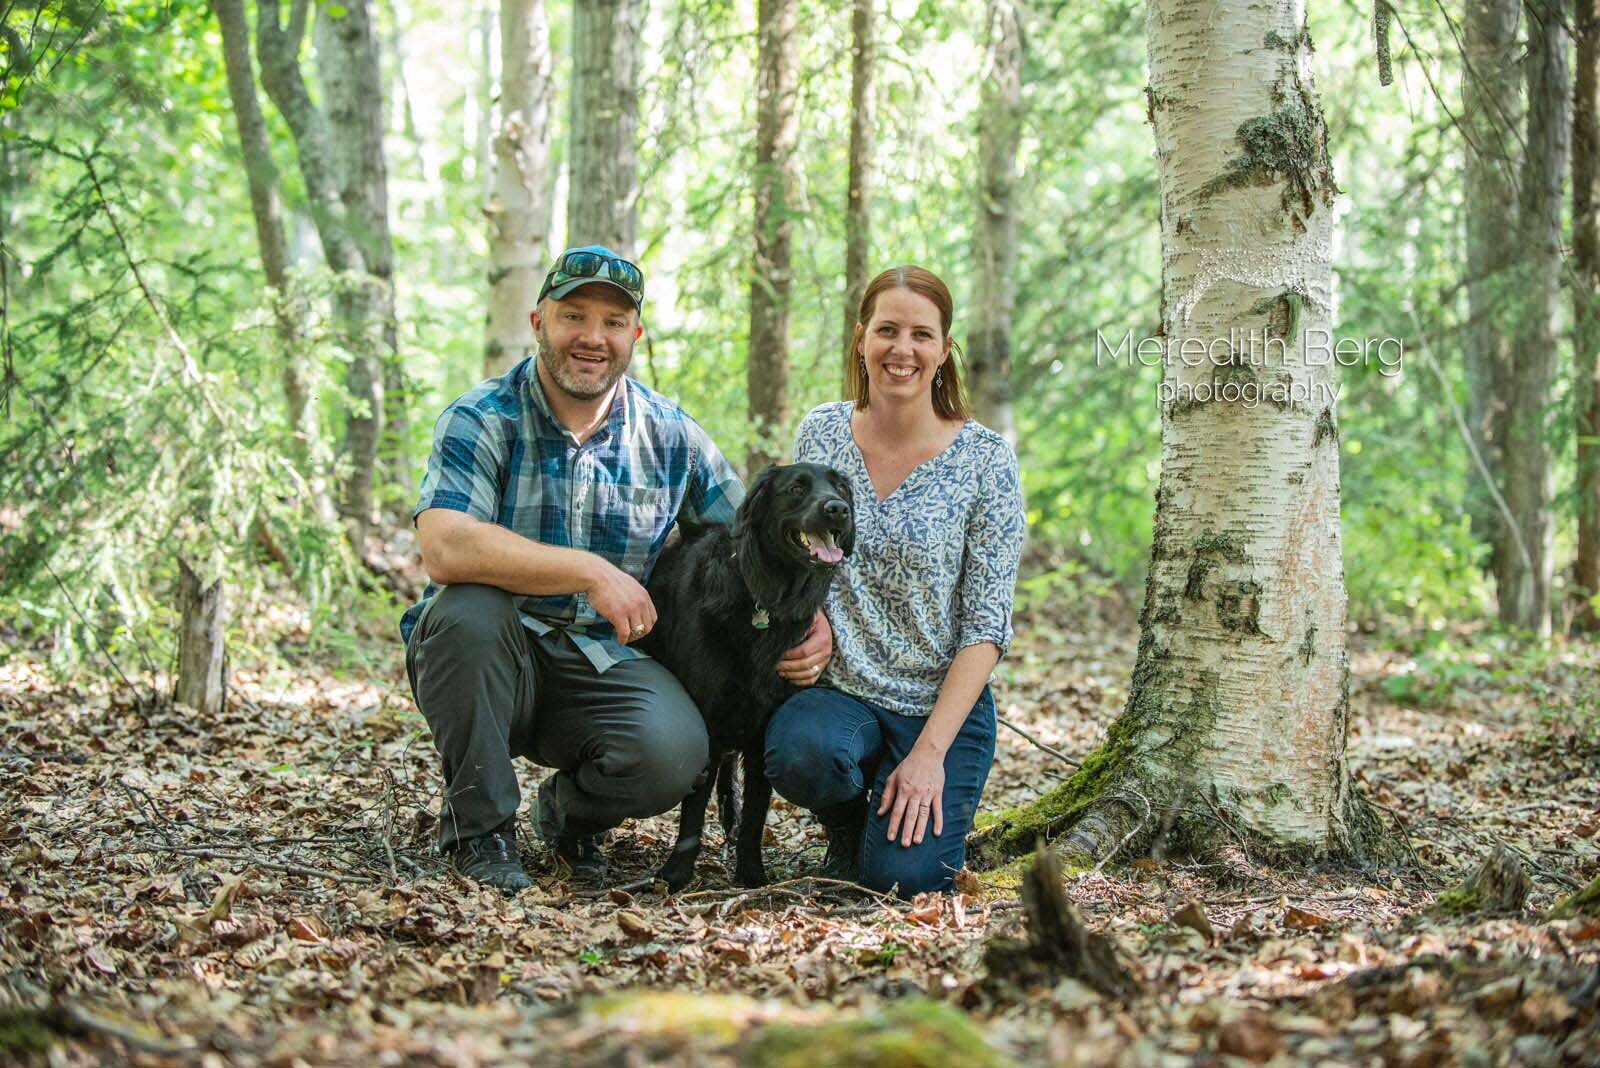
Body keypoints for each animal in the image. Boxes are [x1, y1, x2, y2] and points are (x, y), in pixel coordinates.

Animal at [640, 463, 857, 888]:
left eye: (840, 489)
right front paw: (677, 872)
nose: (838, 509)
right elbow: (694, 807)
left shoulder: (763, 731)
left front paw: (752, 872)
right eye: (796, 489)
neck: (767, 600)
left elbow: (757, 810)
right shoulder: (708, 721)